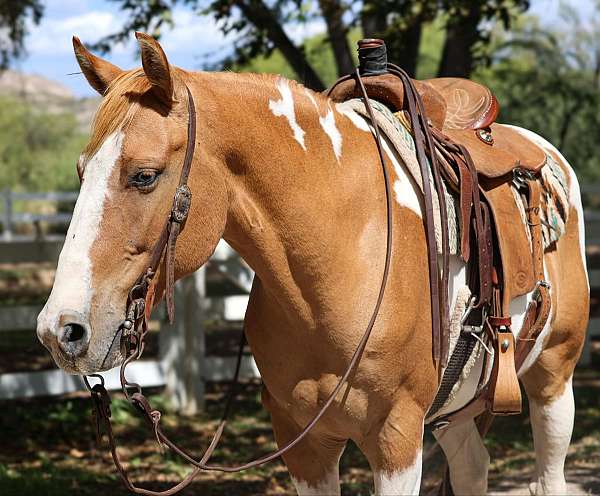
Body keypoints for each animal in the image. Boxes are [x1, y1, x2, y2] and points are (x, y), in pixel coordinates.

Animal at [38, 33, 592, 494]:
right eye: (81, 173)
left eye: (145, 175)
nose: (60, 331)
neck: (340, 257)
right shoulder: (304, 444)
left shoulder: (396, 439)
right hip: (454, 410)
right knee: (473, 466)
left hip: (554, 377)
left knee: (548, 474)